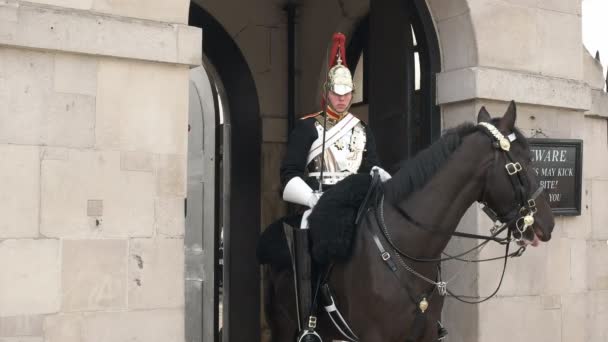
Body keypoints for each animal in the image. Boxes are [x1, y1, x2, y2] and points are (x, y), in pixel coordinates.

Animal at [264, 102, 552, 342]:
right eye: (525, 162)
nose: (548, 225)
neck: (409, 246)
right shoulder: (375, 336)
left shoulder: (425, 335)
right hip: (283, 326)